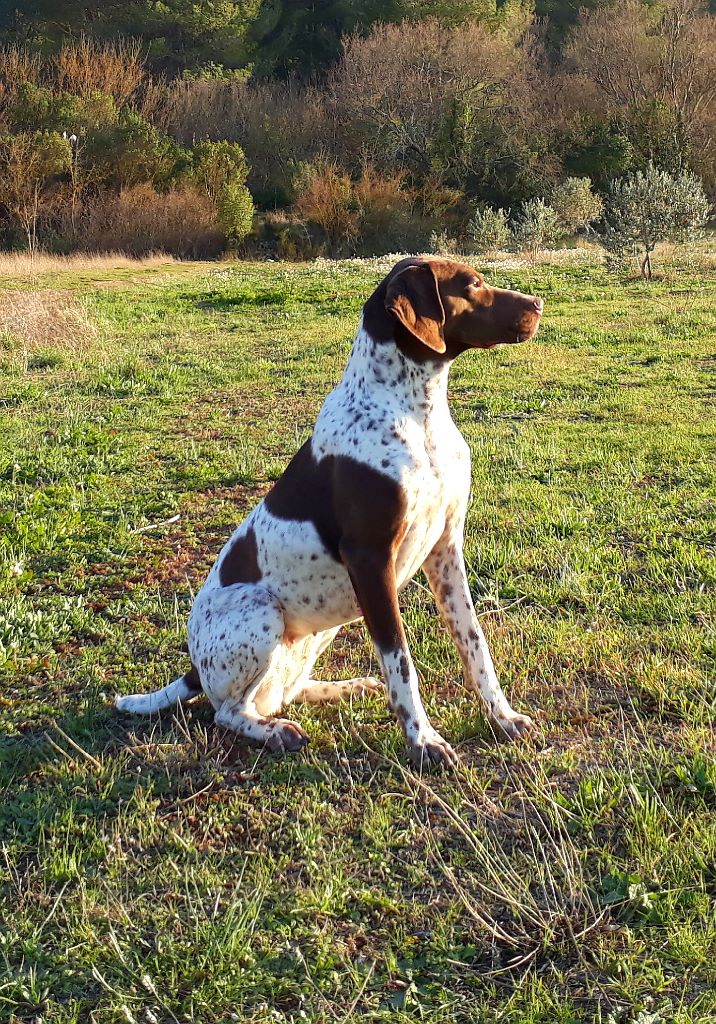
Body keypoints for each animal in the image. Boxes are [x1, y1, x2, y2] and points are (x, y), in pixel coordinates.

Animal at [116, 257, 544, 767]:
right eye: (472, 284)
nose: (538, 303)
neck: (417, 412)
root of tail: (195, 667)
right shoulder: (371, 561)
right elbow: (401, 662)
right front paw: (423, 740)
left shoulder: (445, 550)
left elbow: (474, 643)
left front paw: (503, 717)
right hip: (263, 612)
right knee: (229, 711)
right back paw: (275, 732)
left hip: (325, 625)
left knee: (283, 690)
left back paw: (347, 687)